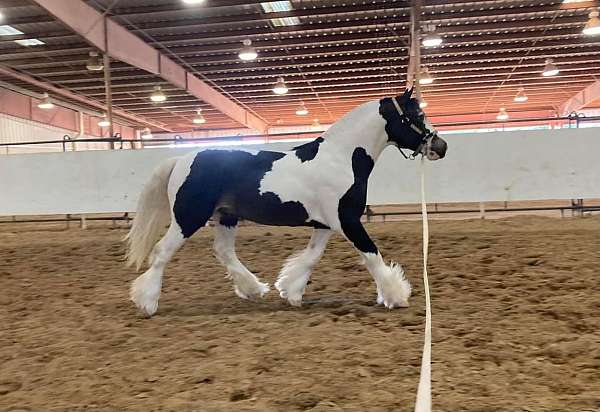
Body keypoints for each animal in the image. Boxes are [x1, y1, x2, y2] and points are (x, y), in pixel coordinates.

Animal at [125, 88, 446, 318]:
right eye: (416, 116)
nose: (440, 147)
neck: (342, 158)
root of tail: (182, 159)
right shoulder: (348, 221)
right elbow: (372, 255)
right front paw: (396, 296)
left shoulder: (325, 224)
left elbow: (311, 258)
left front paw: (290, 292)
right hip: (188, 218)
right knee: (162, 252)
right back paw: (147, 303)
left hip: (226, 216)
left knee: (224, 252)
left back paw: (253, 289)